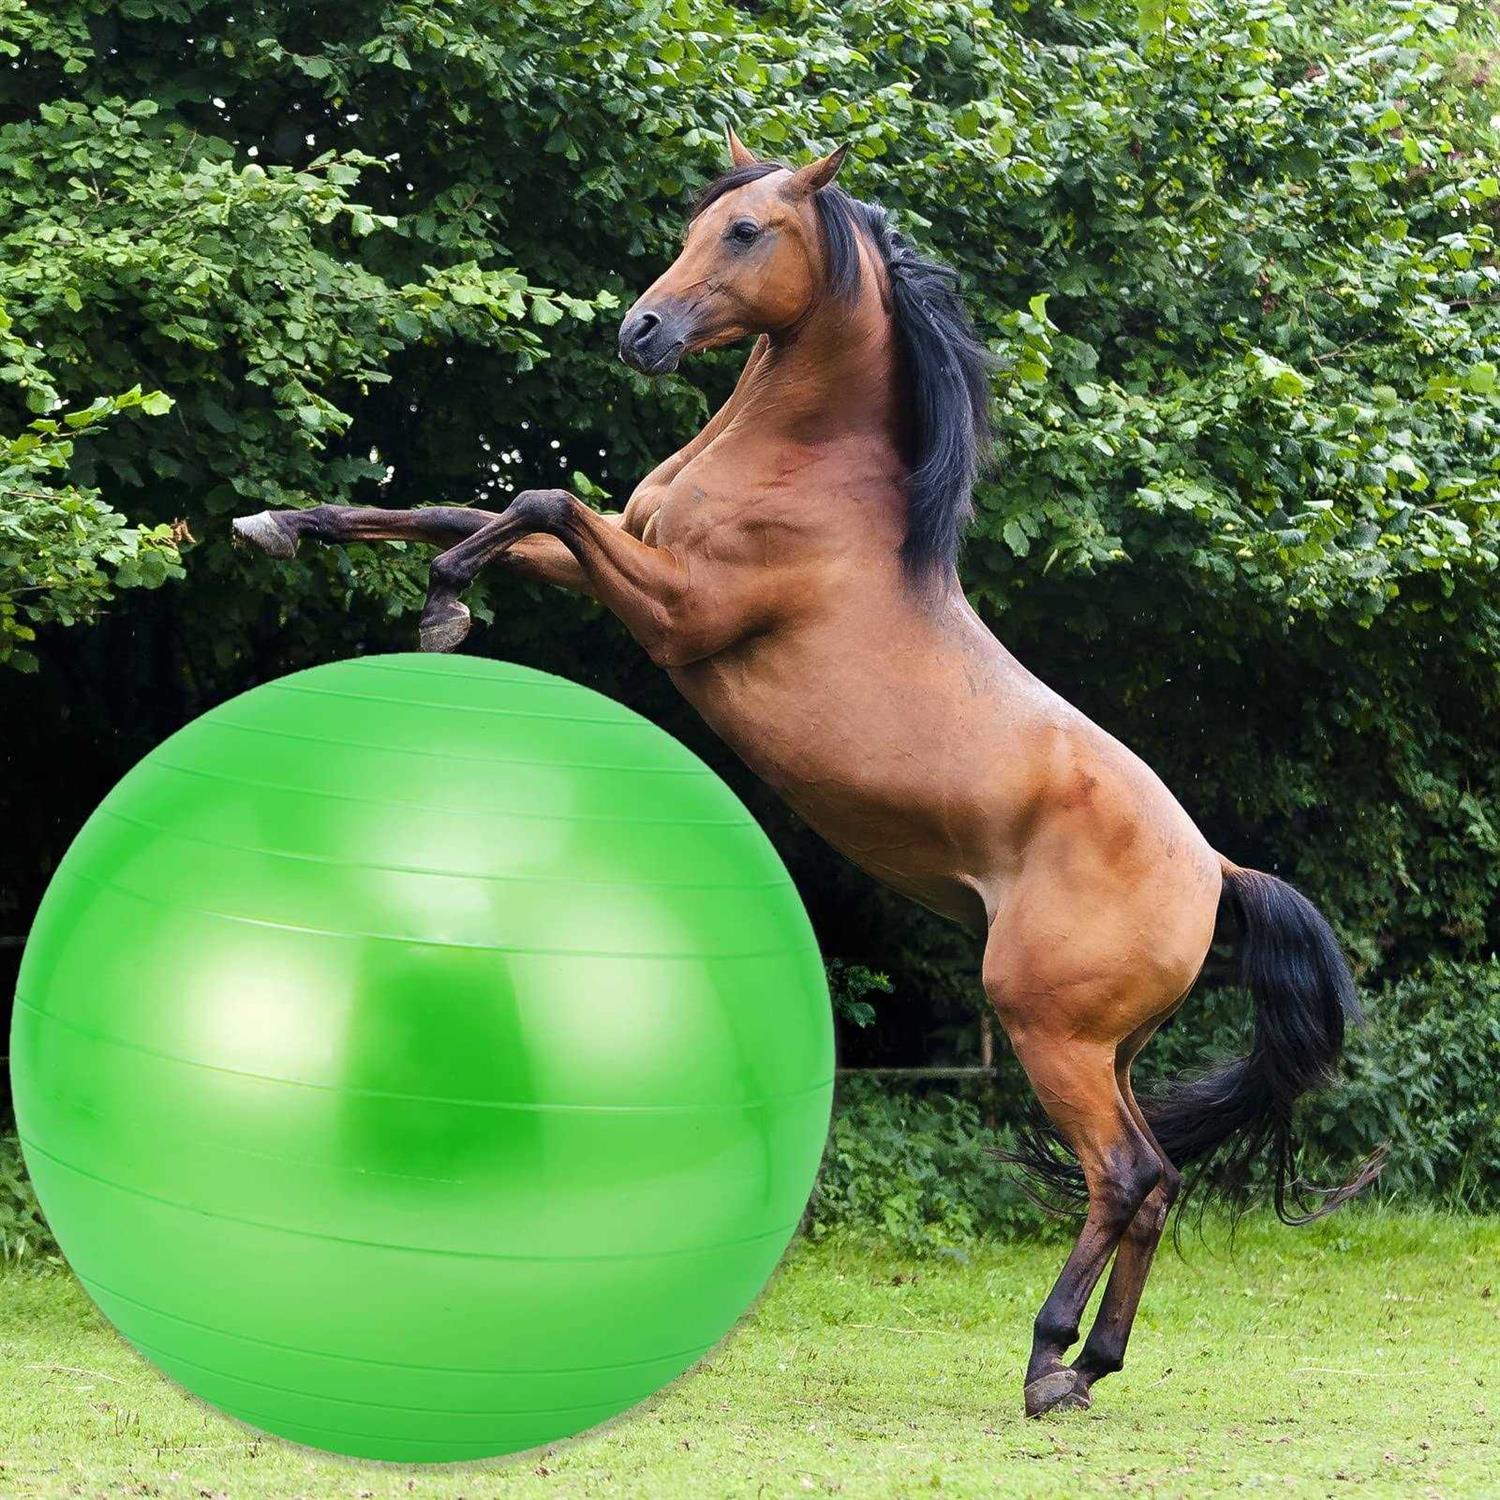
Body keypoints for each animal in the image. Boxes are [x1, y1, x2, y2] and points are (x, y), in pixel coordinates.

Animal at [233, 128, 1379, 1417]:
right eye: (696, 224)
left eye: (745, 232)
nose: (640, 331)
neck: (807, 477)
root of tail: (1217, 870)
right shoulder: (618, 563)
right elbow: (454, 506)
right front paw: (284, 525)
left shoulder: (676, 613)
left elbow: (536, 498)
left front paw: (443, 608)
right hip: (1108, 1047)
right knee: (1155, 1182)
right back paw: (1093, 1366)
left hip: (1050, 1031)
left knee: (1127, 1175)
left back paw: (1046, 1361)